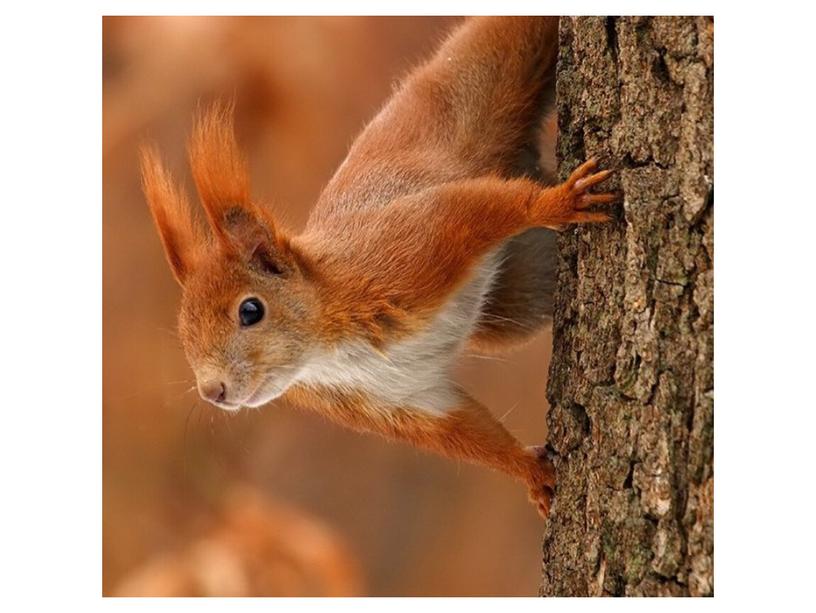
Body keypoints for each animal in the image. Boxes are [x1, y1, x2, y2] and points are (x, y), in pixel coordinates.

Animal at [142, 16, 612, 516]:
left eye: (251, 311)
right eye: (183, 332)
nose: (212, 391)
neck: (326, 351)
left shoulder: (409, 249)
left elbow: (476, 209)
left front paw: (559, 202)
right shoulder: (397, 399)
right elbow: (462, 431)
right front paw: (532, 473)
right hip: (520, 296)